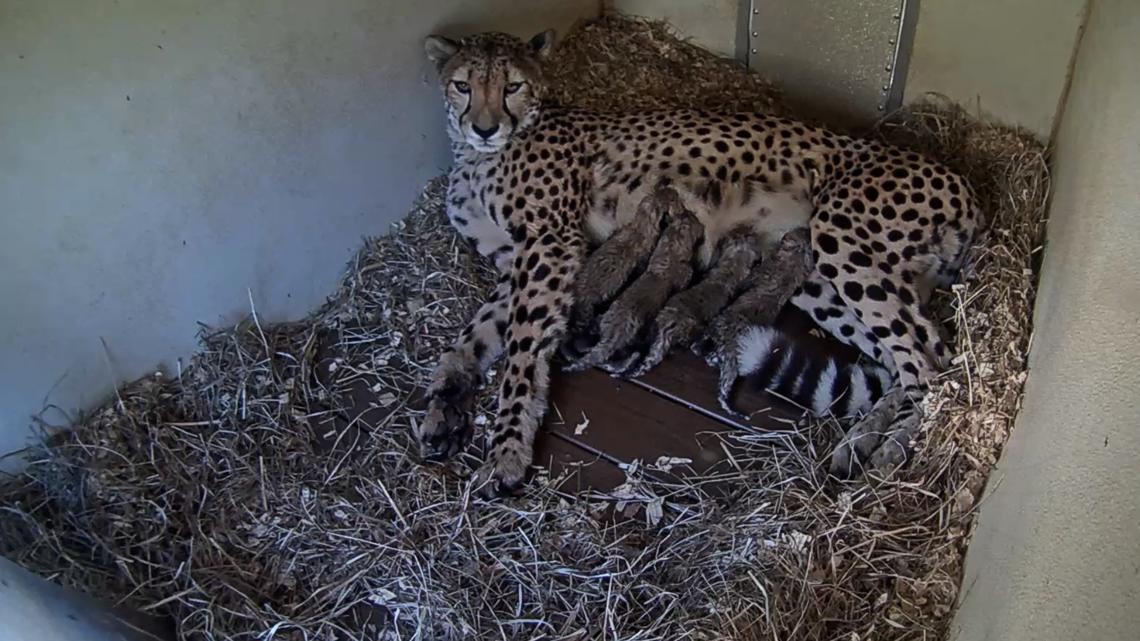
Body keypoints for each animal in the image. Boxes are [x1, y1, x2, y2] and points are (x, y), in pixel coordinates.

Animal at [416, 29, 981, 497]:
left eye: (512, 86)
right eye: (463, 86)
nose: (485, 127)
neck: (478, 156)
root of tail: (963, 184)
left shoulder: (548, 245)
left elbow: (521, 351)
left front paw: (508, 450)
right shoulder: (517, 261)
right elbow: (472, 338)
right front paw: (444, 402)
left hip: (843, 241)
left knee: (931, 363)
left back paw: (888, 451)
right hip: (820, 276)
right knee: (906, 361)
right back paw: (860, 442)